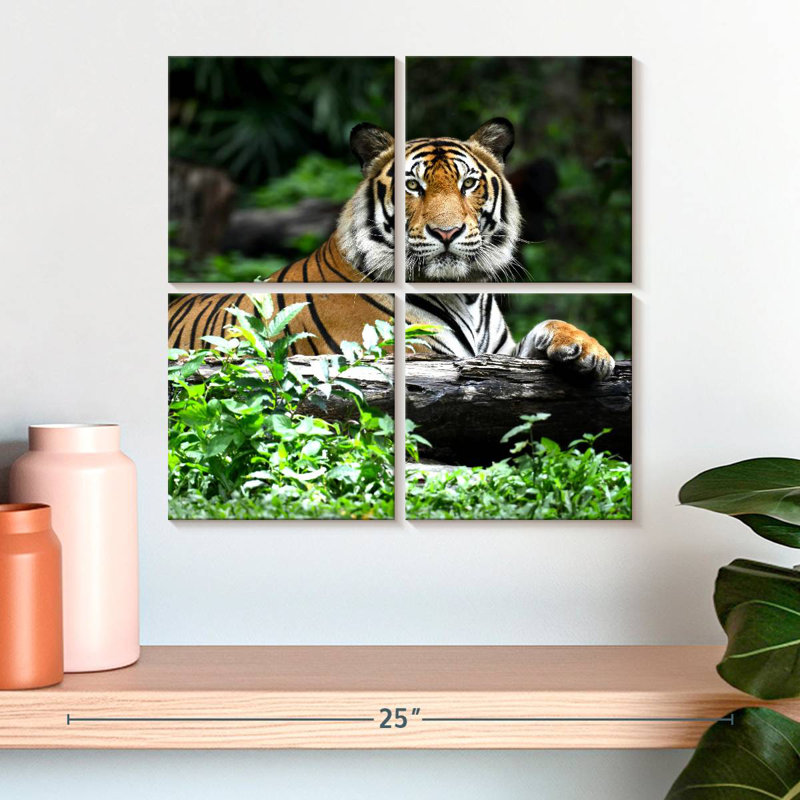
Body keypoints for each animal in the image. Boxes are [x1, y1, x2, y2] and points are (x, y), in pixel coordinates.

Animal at [168, 119, 614, 379]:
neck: (465, 294)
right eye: (412, 185)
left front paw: (589, 351)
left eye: (468, 183)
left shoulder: (498, 352)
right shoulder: (414, 353)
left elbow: (549, 325)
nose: (447, 232)